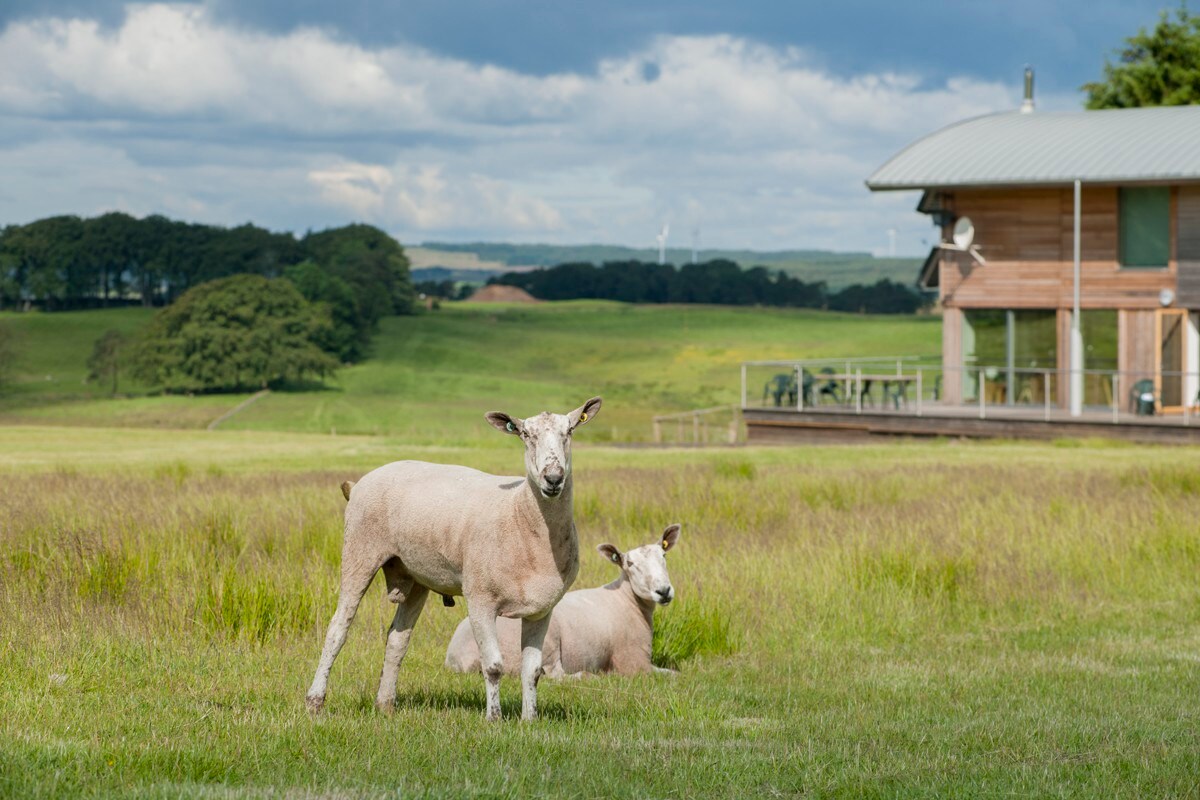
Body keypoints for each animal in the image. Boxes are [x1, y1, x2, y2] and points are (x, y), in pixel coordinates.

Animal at [300, 398, 600, 724]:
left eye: (569, 431)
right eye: (525, 435)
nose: (553, 478)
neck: (520, 515)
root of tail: (360, 482)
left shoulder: (542, 609)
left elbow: (532, 672)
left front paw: (529, 720)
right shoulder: (480, 598)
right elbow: (493, 666)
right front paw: (494, 719)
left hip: (415, 573)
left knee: (397, 641)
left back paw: (385, 704)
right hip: (359, 551)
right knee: (337, 629)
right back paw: (314, 701)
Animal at [444, 522, 686, 681]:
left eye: (664, 556)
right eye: (630, 564)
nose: (663, 591)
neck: (628, 599)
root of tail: (457, 655)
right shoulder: (634, 662)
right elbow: (674, 674)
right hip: (547, 640)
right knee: (553, 674)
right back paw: (587, 676)